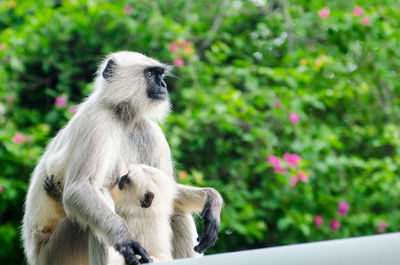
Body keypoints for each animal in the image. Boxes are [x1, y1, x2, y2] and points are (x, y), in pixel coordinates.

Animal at [43, 163, 177, 262]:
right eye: (126, 175)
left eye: (127, 179)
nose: (122, 177)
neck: (143, 211)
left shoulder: (126, 211)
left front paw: (58, 195)